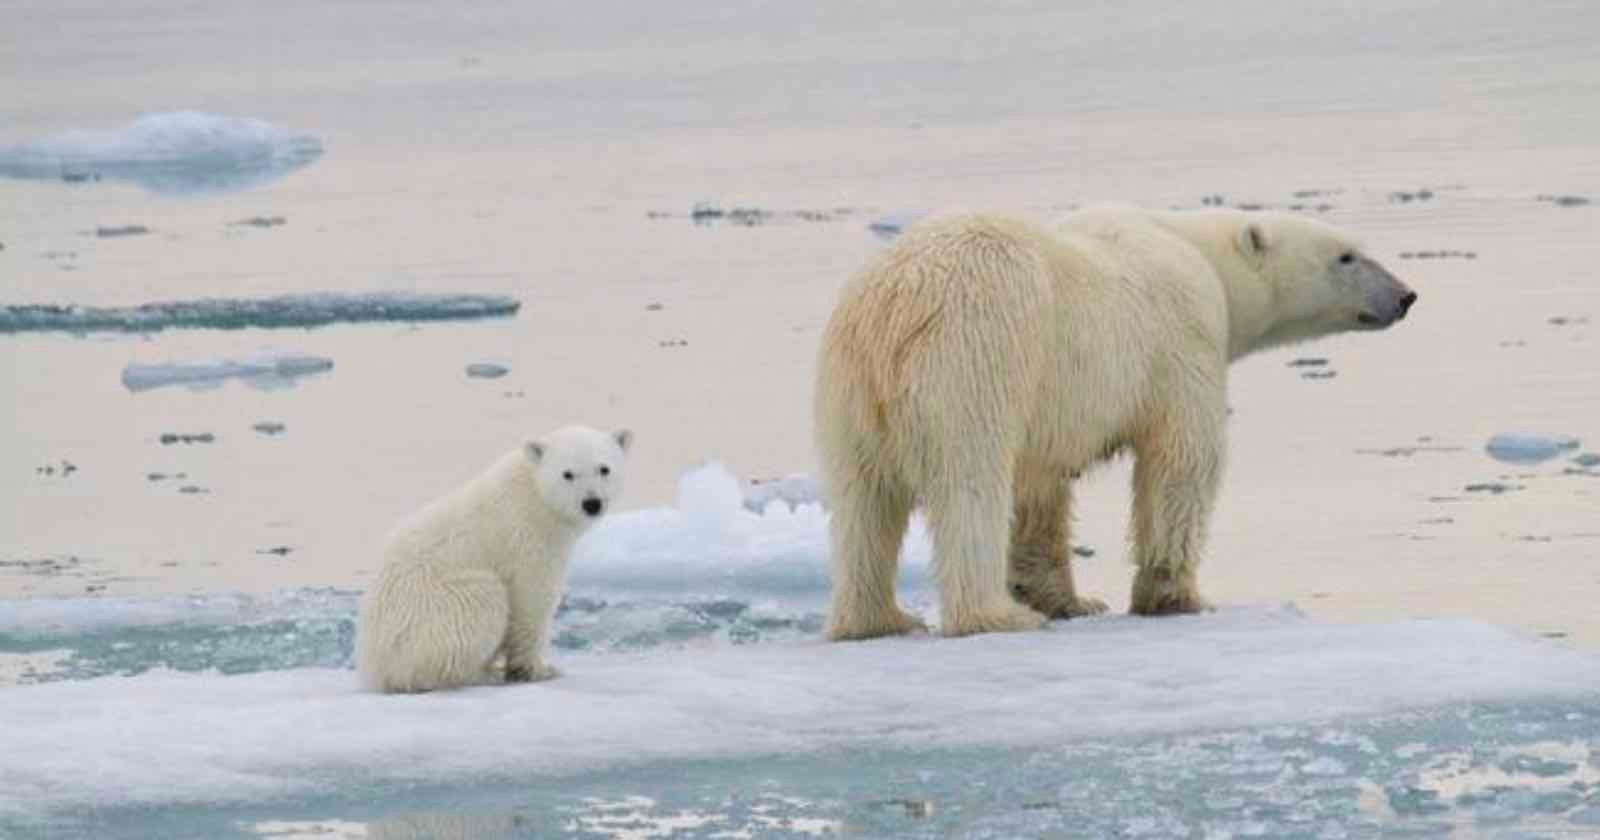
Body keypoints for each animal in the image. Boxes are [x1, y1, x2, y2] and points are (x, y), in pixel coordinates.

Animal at [819, 208, 1420, 636]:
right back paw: (993, 615)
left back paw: (878, 619)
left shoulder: (1051, 407)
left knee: (862, 502)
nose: (1406, 295)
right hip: (974, 356)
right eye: (1346, 256)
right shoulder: (1183, 340)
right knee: (970, 483)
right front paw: (1176, 596)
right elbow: (1182, 461)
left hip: (850, 389)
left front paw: (1068, 599)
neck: (1200, 254)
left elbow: (1041, 489)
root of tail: (893, 307)